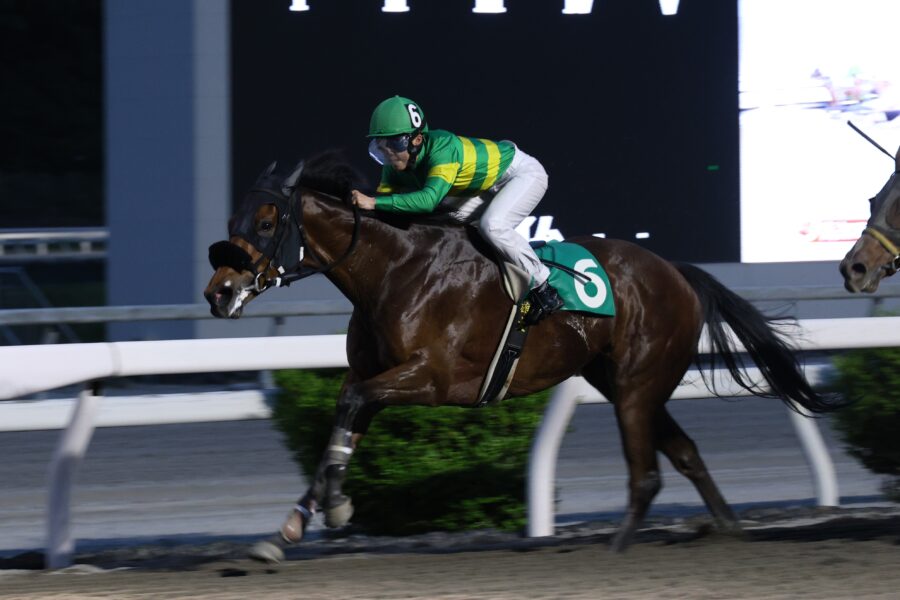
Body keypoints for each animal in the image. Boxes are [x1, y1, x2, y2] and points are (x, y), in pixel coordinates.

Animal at [204, 151, 840, 562]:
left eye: (267, 221)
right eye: (231, 221)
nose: (218, 293)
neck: (395, 270)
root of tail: (677, 272)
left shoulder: (434, 378)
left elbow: (352, 405)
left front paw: (336, 509)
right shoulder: (374, 376)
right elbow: (340, 424)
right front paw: (287, 529)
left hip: (637, 385)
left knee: (647, 473)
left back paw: (618, 549)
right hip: (621, 381)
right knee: (684, 452)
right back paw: (732, 531)